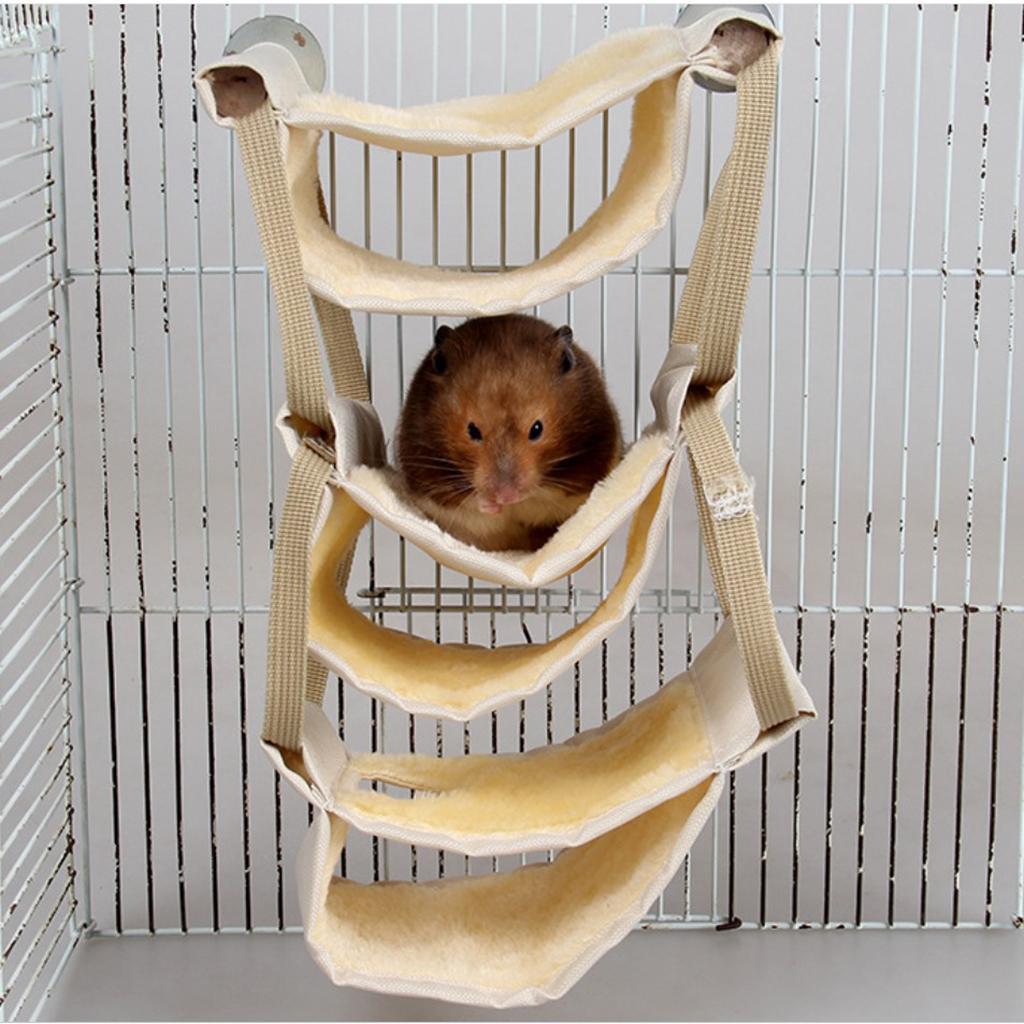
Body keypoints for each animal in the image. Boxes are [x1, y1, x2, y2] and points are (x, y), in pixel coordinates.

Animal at [395, 314, 623, 552]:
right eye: (472, 430)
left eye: (537, 429)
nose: (506, 497)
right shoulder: (426, 468)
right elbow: (466, 500)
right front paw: (492, 504)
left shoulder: (588, 463)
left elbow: (543, 495)